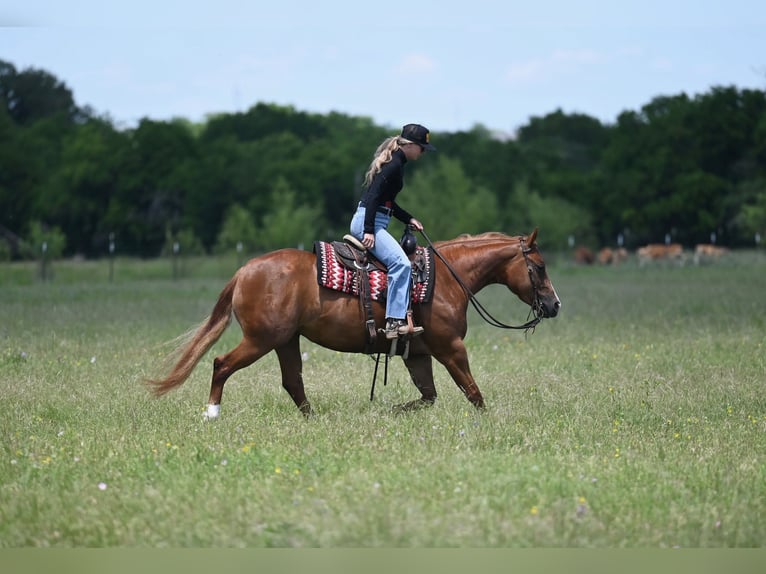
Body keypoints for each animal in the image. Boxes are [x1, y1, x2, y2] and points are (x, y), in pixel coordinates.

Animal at [147, 229, 561, 418]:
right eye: (539, 267)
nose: (555, 305)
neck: (444, 277)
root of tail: (244, 270)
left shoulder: (419, 353)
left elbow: (428, 397)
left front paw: (389, 413)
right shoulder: (450, 349)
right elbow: (474, 394)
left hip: (285, 340)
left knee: (292, 381)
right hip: (261, 339)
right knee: (221, 364)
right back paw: (211, 415)